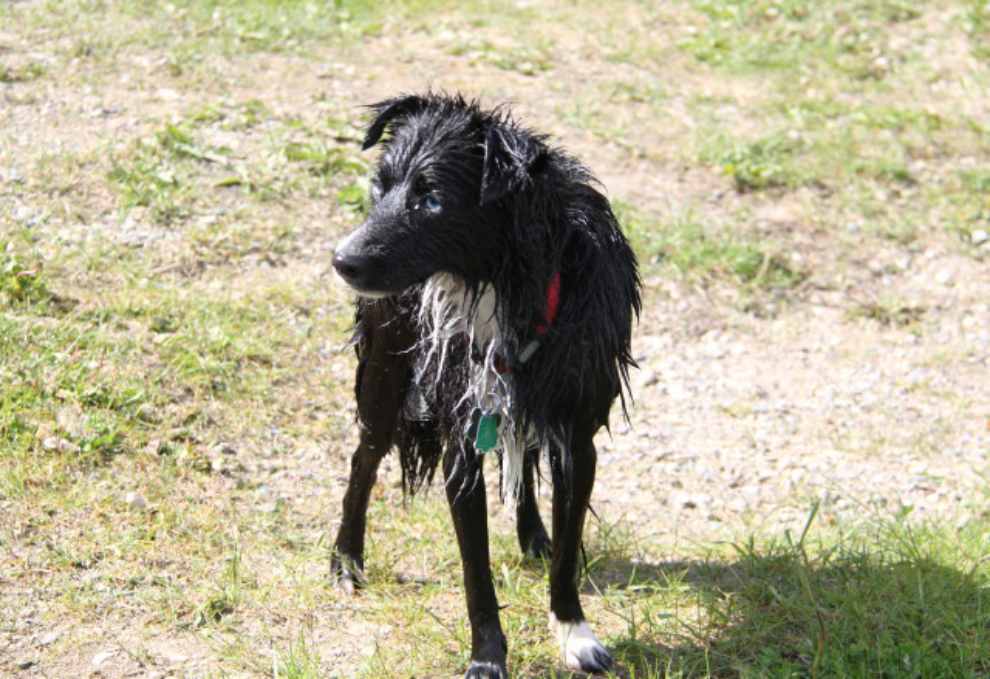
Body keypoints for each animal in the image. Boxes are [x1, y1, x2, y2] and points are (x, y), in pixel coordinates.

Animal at [332, 93, 644, 676]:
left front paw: (573, 632)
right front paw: (487, 658)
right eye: (380, 187)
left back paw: (533, 534)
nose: (342, 260)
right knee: (363, 461)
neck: (508, 294)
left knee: (521, 455)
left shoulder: (576, 438)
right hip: (386, 377)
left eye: (431, 201)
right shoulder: (462, 440)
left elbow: (566, 552)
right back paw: (345, 559)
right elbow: (476, 575)